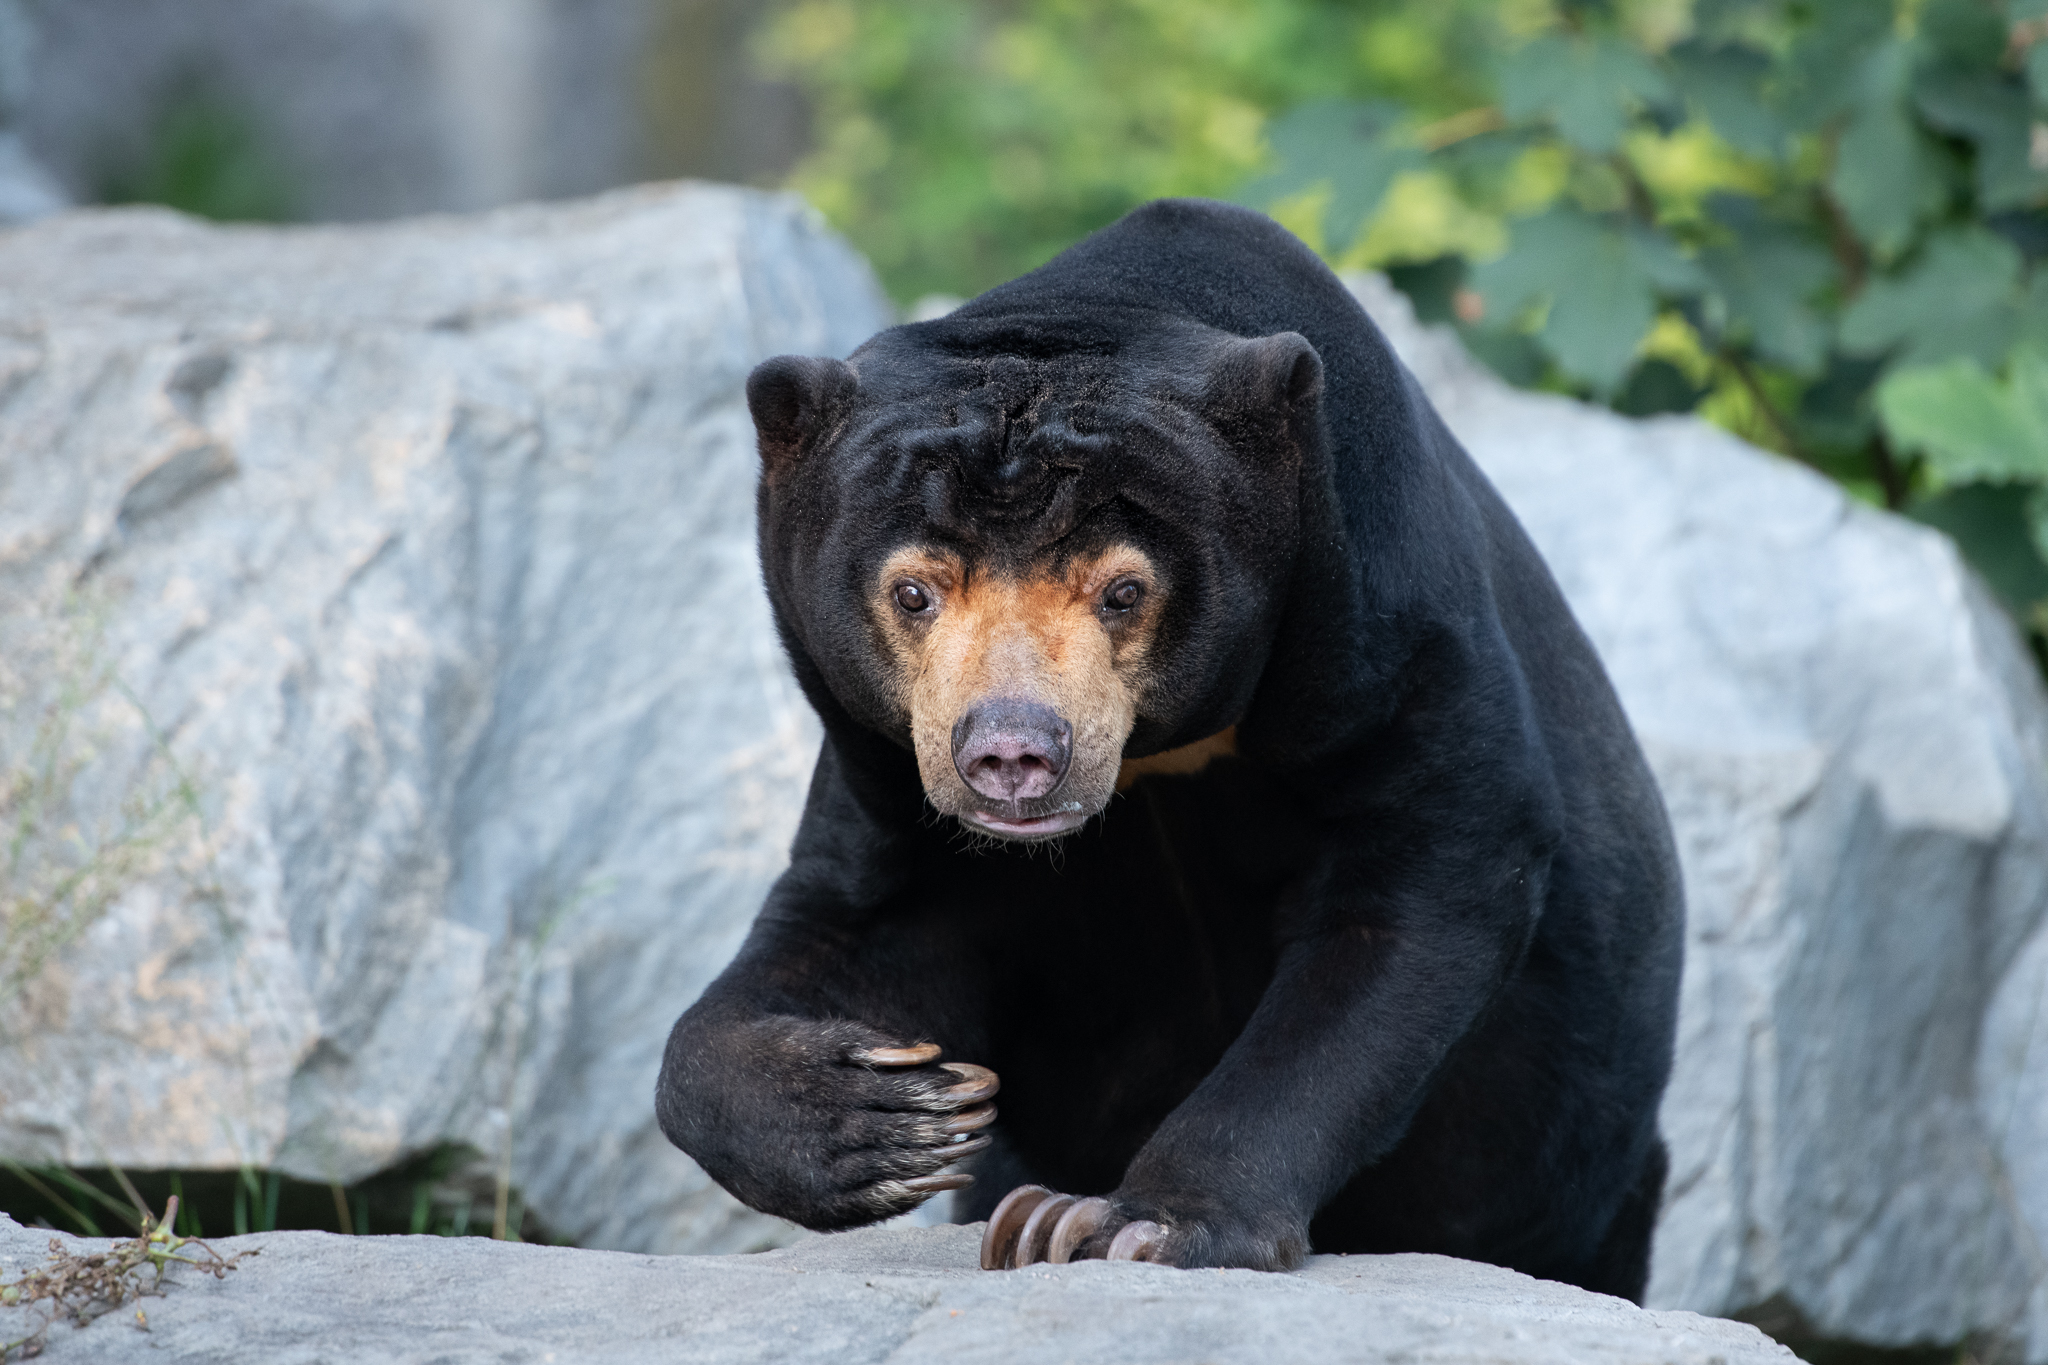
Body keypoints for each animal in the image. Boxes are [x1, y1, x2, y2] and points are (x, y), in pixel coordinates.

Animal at [655, 194, 1679, 1301]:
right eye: (914, 590)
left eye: (1122, 589)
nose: (1012, 753)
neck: (1165, 755)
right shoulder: (888, 770)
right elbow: (850, 929)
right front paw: (892, 1115)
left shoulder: (1384, 634)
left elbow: (1414, 894)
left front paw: (1124, 1225)